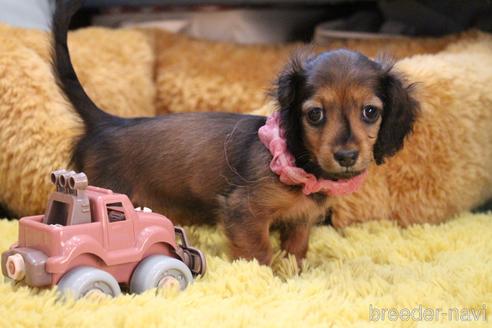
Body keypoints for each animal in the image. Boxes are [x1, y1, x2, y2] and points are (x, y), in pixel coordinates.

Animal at [52, 0, 418, 266]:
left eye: (370, 112)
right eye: (315, 115)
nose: (346, 156)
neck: (299, 163)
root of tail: (108, 122)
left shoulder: (300, 220)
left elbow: (296, 249)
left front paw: (295, 272)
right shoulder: (244, 211)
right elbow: (258, 253)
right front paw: (265, 278)